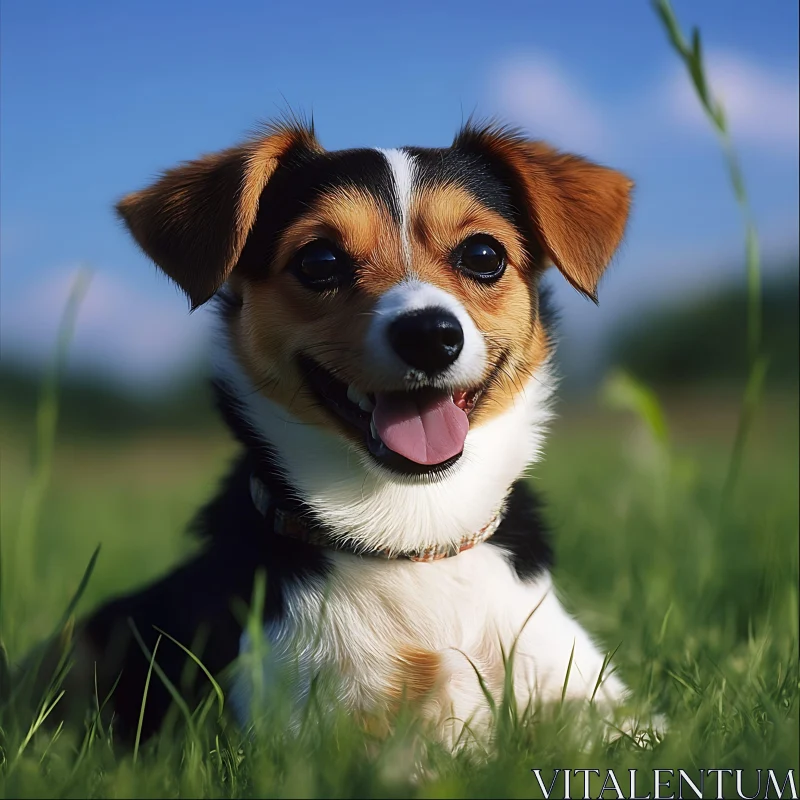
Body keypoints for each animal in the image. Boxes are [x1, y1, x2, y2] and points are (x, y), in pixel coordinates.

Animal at [31, 119, 636, 752]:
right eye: (319, 260)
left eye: (483, 254)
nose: (428, 334)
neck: (413, 537)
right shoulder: (313, 736)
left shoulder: (591, 699)